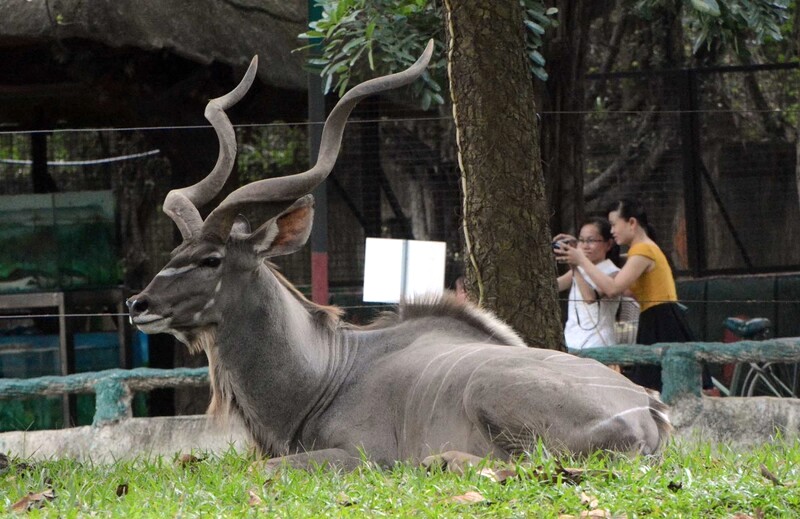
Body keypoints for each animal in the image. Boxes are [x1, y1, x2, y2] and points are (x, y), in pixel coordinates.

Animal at [130, 42, 668, 470]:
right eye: (177, 250)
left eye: (212, 260)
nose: (139, 305)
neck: (327, 373)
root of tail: (647, 408)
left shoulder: (357, 457)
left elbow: (259, 471)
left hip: (490, 394)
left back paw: (442, 460)